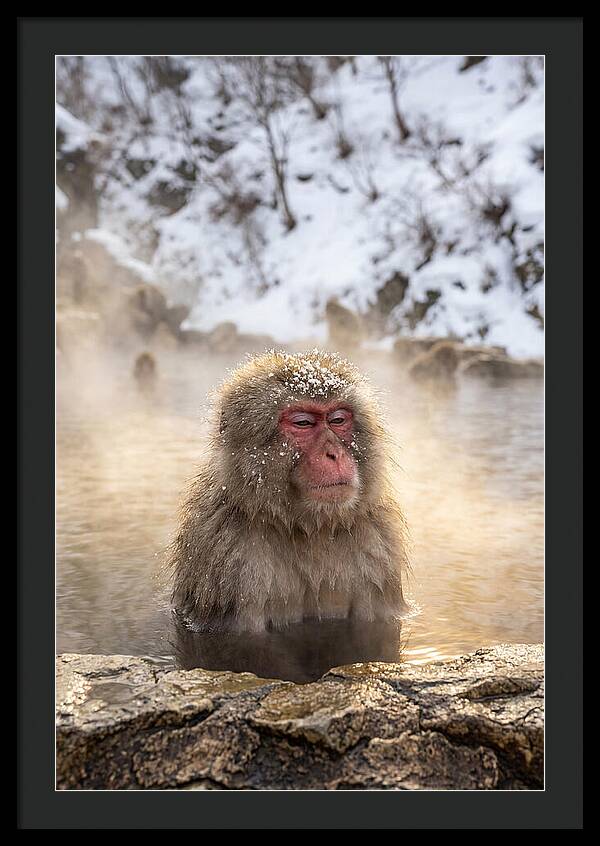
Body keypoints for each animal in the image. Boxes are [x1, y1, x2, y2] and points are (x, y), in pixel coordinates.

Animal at [170, 349, 410, 633]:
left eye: (338, 419)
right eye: (303, 423)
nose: (334, 454)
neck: (309, 529)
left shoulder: (378, 547)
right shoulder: (228, 559)